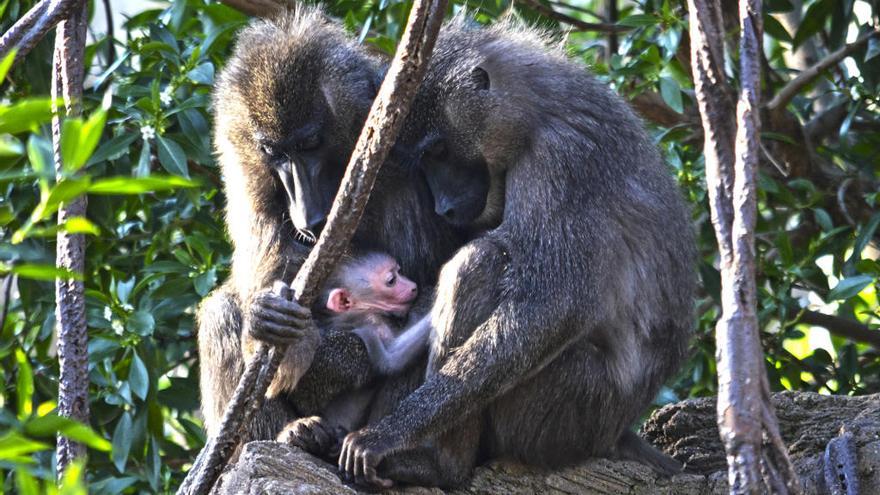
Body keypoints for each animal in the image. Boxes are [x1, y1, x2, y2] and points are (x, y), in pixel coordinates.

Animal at [340, 17, 696, 490]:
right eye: (424, 160)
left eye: (438, 150)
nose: (444, 207)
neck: (538, 109)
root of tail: (616, 430)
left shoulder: (562, 160)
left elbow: (554, 305)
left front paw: (387, 435)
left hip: (569, 410)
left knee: (479, 262)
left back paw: (440, 466)